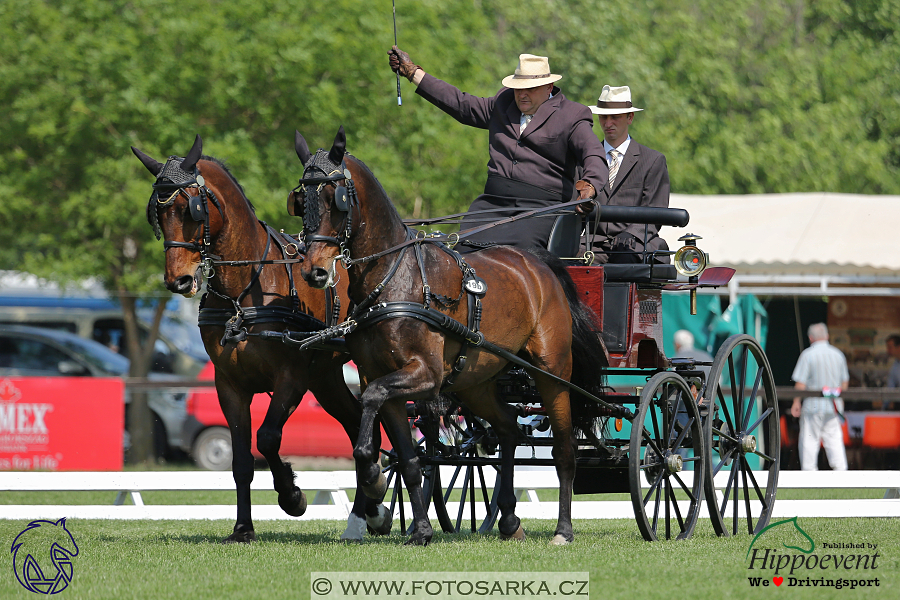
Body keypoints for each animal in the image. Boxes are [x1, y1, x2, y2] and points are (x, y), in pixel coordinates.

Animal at [131, 136, 390, 544]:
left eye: (191, 209)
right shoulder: (229, 385)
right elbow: (241, 461)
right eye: (157, 213)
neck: (245, 289)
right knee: (356, 426)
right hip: (325, 377)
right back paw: (368, 513)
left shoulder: (292, 378)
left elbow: (267, 438)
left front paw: (293, 495)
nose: (179, 280)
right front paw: (242, 528)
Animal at [292, 127, 608, 548]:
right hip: (477, 383)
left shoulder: (425, 374)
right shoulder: (383, 377)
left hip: (552, 373)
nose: (314, 272)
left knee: (564, 450)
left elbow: (372, 404)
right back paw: (510, 518)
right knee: (508, 427)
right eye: (301, 200)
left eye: (337, 198)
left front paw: (373, 479)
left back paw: (563, 530)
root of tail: (539, 264)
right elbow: (409, 460)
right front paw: (419, 528)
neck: (393, 278)